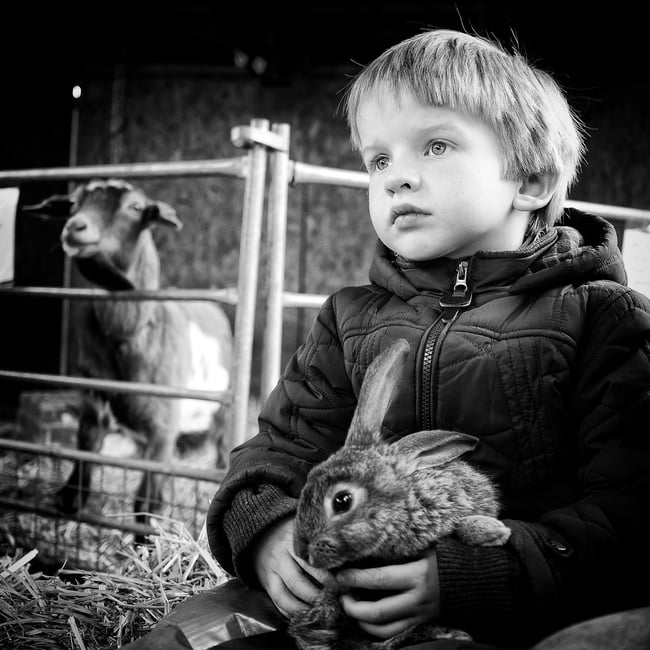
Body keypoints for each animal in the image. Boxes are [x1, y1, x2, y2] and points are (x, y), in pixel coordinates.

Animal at [24, 178, 234, 536]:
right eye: (74, 203)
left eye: (135, 208)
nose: (75, 227)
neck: (133, 333)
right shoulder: (93, 406)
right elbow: (80, 472)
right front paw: (70, 500)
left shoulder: (163, 429)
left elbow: (146, 505)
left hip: (222, 407)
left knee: (222, 440)